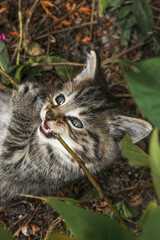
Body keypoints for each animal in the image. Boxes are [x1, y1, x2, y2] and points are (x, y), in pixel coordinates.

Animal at [0, 51, 152, 207]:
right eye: (60, 99)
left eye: (76, 123)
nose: (49, 114)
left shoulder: (24, 166)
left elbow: (13, 144)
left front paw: (24, 103)